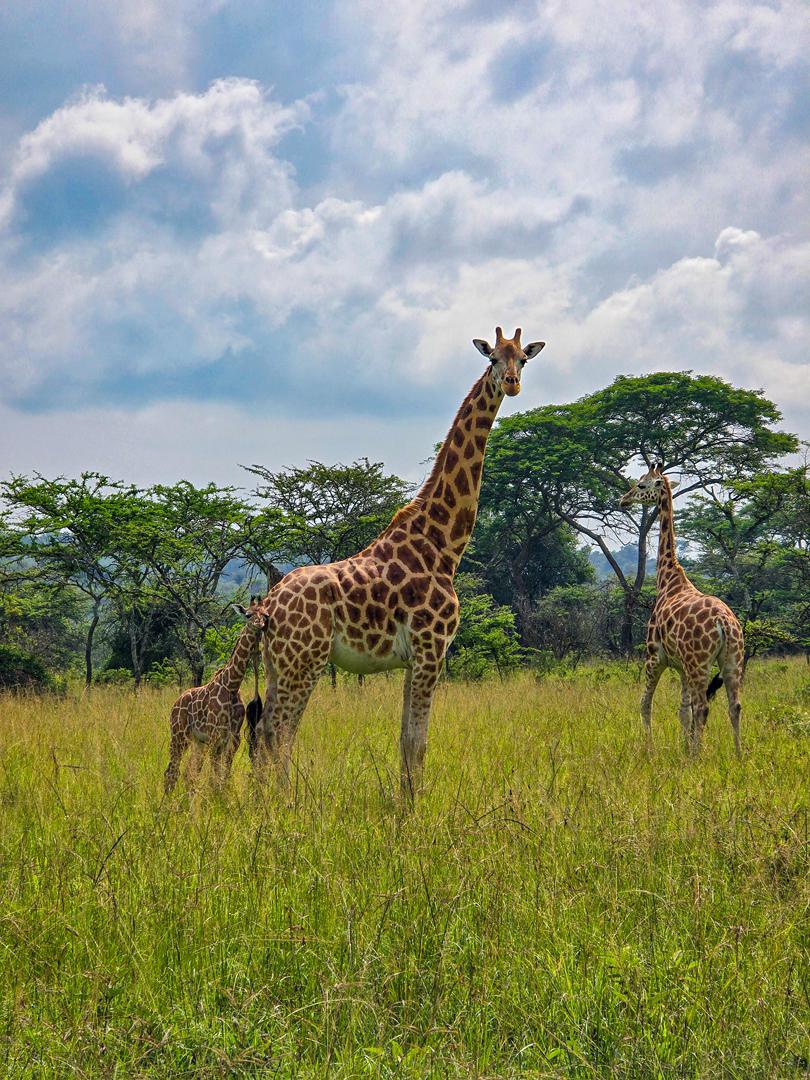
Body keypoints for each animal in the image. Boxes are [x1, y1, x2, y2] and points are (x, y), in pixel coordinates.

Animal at [163, 601, 269, 793]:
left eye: (265, 615)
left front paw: (222, 797)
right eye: (248, 615)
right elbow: (214, 777)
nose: (259, 624)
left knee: (189, 773)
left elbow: (224, 776)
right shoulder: (215, 735)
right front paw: (216, 798)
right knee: (171, 771)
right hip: (179, 734)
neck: (231, 685)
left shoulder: (233, 738)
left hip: (197, 741)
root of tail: (175, 703)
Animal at [254, 327, 545, 796]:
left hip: (276, 663)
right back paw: (281, 804)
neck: (443, 546)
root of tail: (269, 603)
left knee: (264, 731)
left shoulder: (414, 659)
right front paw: (415, 808)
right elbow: (418, 742)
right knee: (279, 732)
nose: (513, 383)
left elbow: (406, 740)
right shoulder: (432, 648)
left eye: (522, 358)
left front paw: (404, 803)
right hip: (305, 660)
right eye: (493, 359)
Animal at [620, 463, 744, 756]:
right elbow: (683, 712)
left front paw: (651, 749)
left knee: (703, 707)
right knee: (734, 706)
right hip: (732, 660)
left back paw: (700, 757)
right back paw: (738, 755)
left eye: (641, 485)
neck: (667, 579)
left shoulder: (655, 656)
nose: (623, 500)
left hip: (699, 663)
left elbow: (645, 704)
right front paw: (685, 749)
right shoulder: (682, 667)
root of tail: (725, 623)